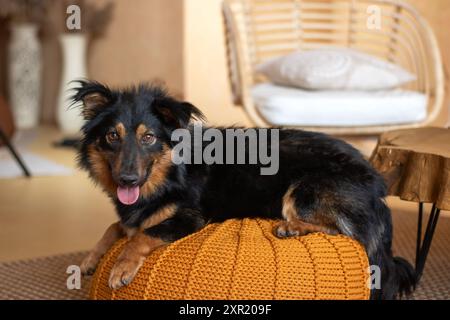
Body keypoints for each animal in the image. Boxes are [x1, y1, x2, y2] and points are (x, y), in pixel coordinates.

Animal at [74, 79, 414, 298]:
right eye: (112, 136)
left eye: (149, 138)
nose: (127, 180)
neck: (170, 174)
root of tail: (378, 185)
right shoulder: (136, 214)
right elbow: (117, 226)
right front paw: (90, 260)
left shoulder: (190, 217)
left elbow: (142, 235)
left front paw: (120, 267)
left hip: (305, 187)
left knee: (346, 234)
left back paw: (292, 227)